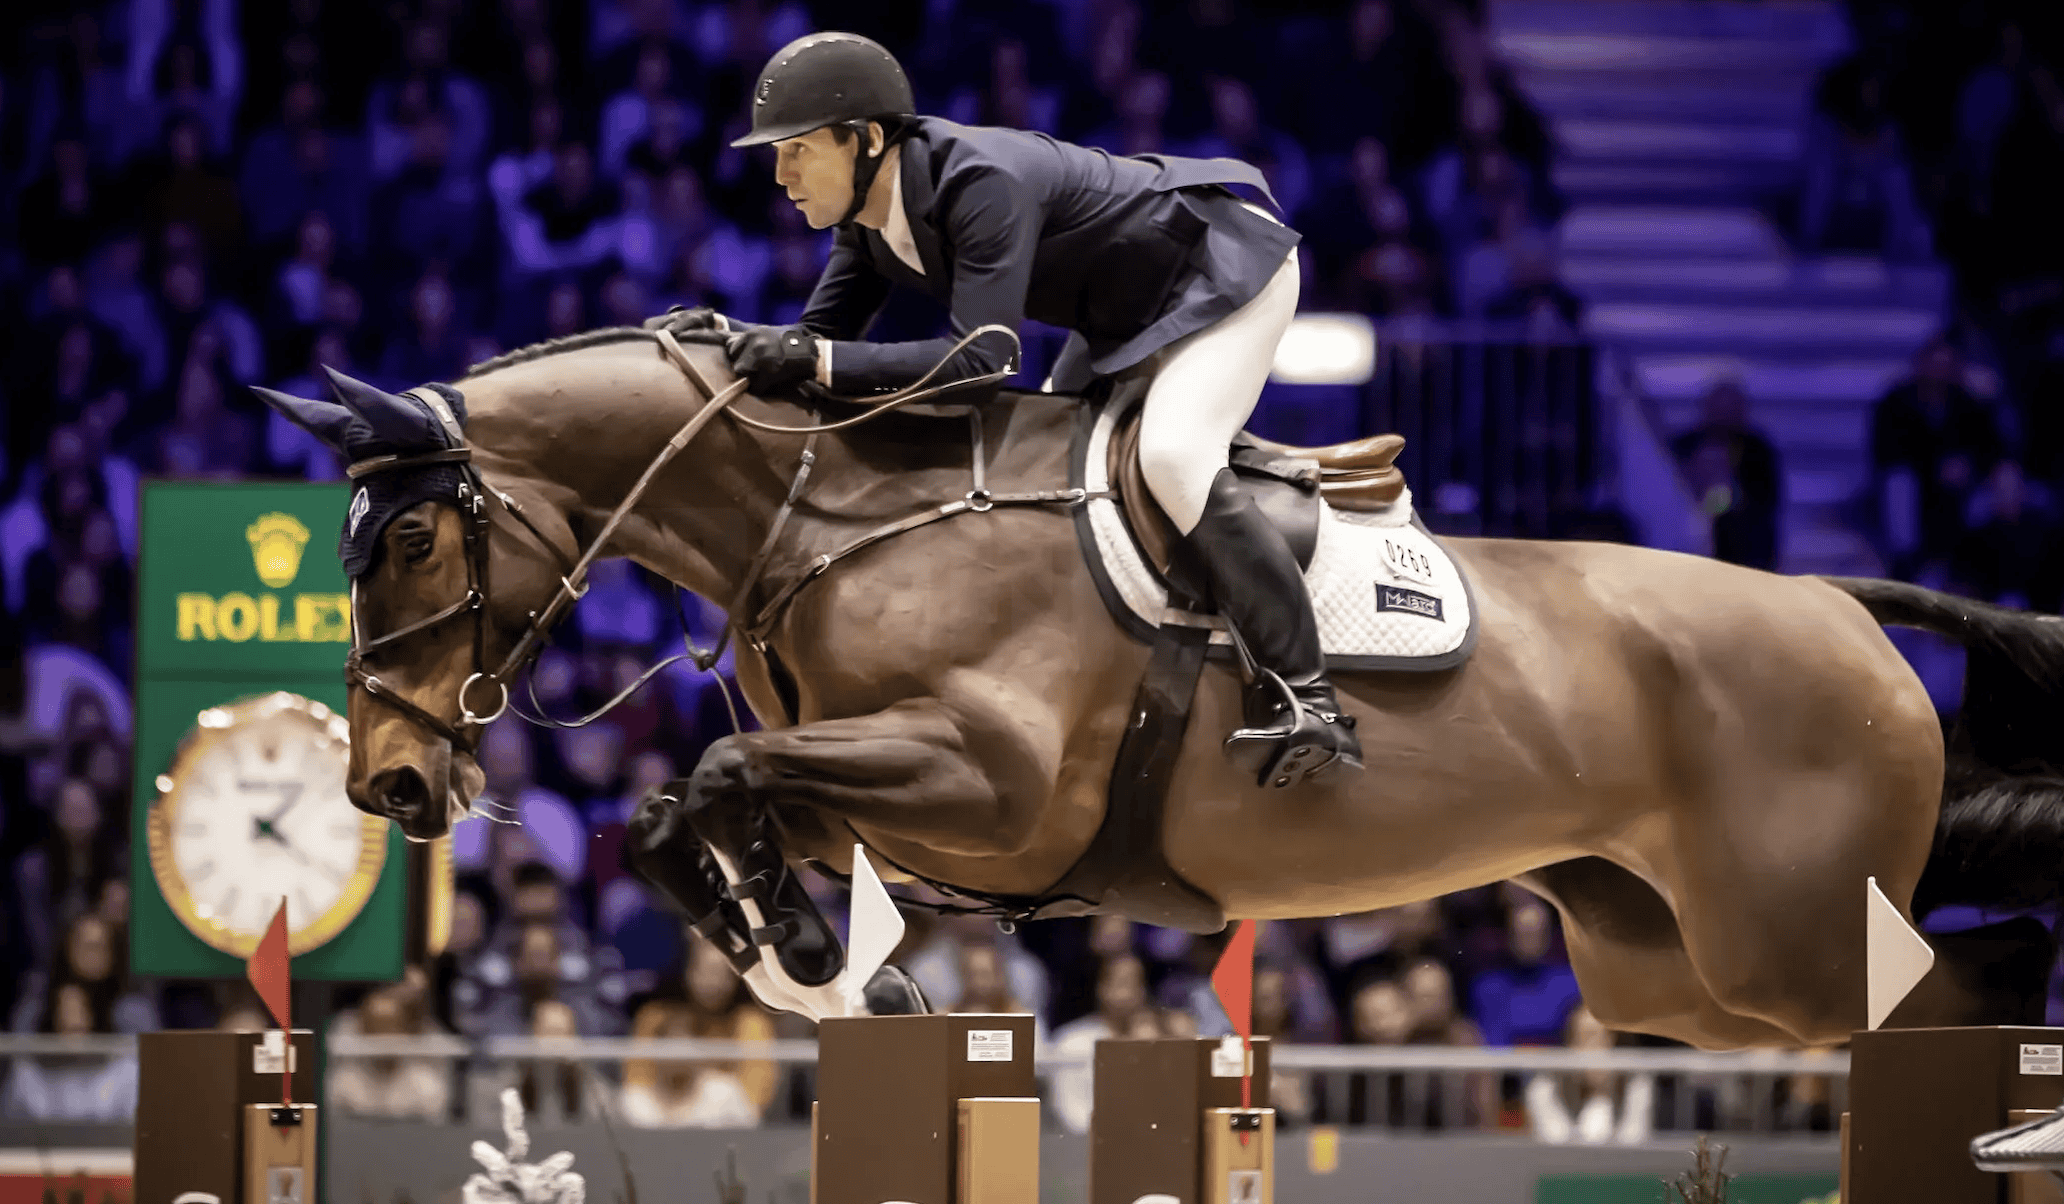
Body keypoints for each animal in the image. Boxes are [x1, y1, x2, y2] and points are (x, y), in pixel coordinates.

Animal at [255, 327, 2064, 1049]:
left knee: (1959, 983)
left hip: (1778, 941)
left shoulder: (980, 783)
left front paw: (804, 946)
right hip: (1660, 961)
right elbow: (679, 800)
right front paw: (791, 937)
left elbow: (710, 777)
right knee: (1972, 961)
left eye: (407, 537)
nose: (386, 785)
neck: (835, 516)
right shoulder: (883, 786)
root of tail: (1829, 600)